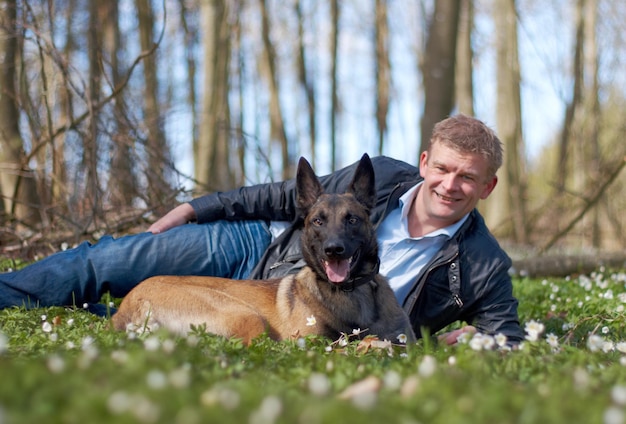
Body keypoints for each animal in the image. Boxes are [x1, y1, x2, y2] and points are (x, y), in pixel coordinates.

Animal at [112, 154, 414, 346]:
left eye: (352, 219)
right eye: (318, 221)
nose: (333, 250)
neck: (351, 292)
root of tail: (126, 306)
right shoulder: (310, 342)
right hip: (247, 316)